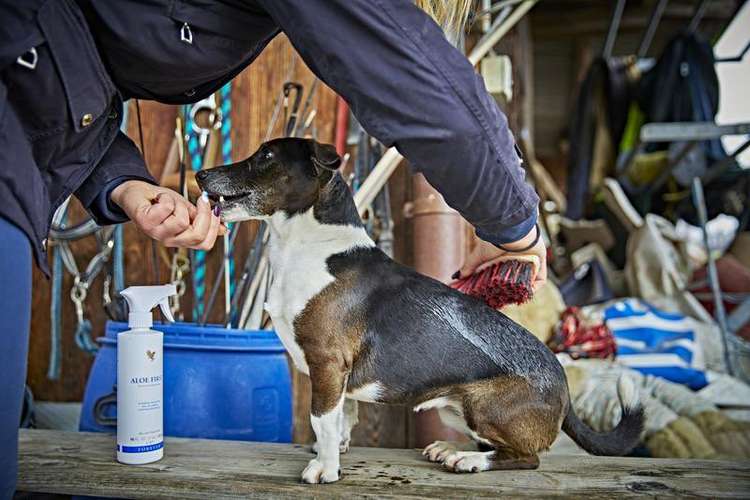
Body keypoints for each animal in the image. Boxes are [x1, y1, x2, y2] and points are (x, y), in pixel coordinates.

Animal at [195, 138, 648, 484]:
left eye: (266, 156)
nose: (200, 175)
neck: (309, 246)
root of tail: (564, 389)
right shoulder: (339, 376)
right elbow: (342, 420)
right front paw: (334, 452)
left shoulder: (327, 363)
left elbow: (322, 419)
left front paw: (325, 468)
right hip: (455, 408)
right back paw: (450, 448)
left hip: (483, 406)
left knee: (526, 456)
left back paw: (469, 459)